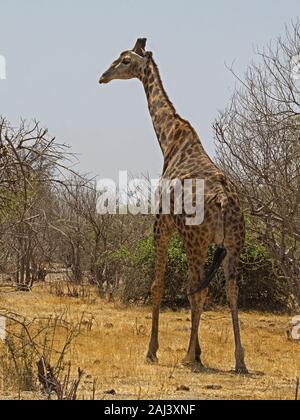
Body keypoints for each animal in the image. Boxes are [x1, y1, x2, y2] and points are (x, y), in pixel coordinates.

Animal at [99, 38, 248, 374]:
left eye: (125, 60)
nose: (103, 76)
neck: (168, 140)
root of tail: (224, 200)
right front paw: (202, 352)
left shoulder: (161, 224)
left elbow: (158, 284)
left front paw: (152, 350)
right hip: (234, 243)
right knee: (231, 290)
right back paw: (239, 360)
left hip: (197, 241)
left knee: (199, 290)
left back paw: (188, 357)